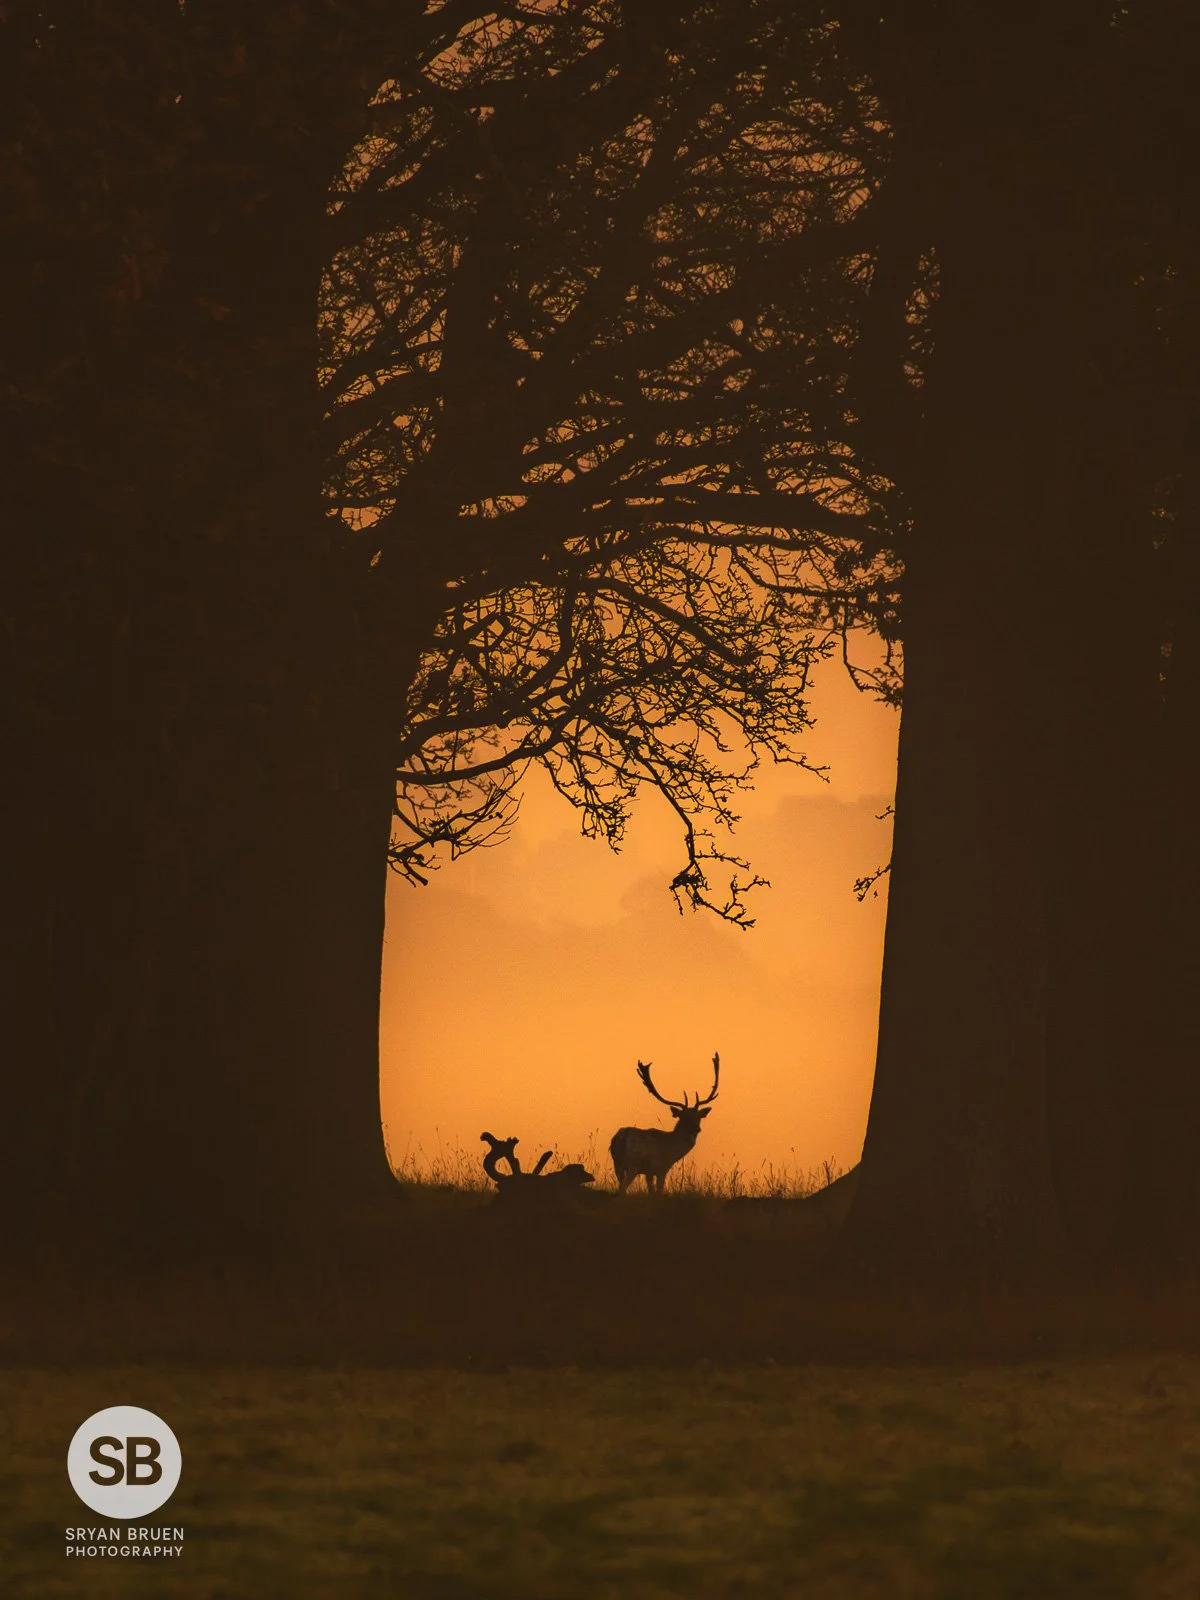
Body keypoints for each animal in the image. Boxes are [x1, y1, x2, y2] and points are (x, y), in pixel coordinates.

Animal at [609, 1054, 720, 1194]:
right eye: (684, 1117)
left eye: (698, 1117)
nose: (696, 1129)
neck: (672, 1150)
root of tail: (622, 1137)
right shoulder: (662, 1168)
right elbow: (659, 1191)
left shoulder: (649, 1173)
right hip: (633, 1164)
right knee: (623, 1188)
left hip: (617, 1164)